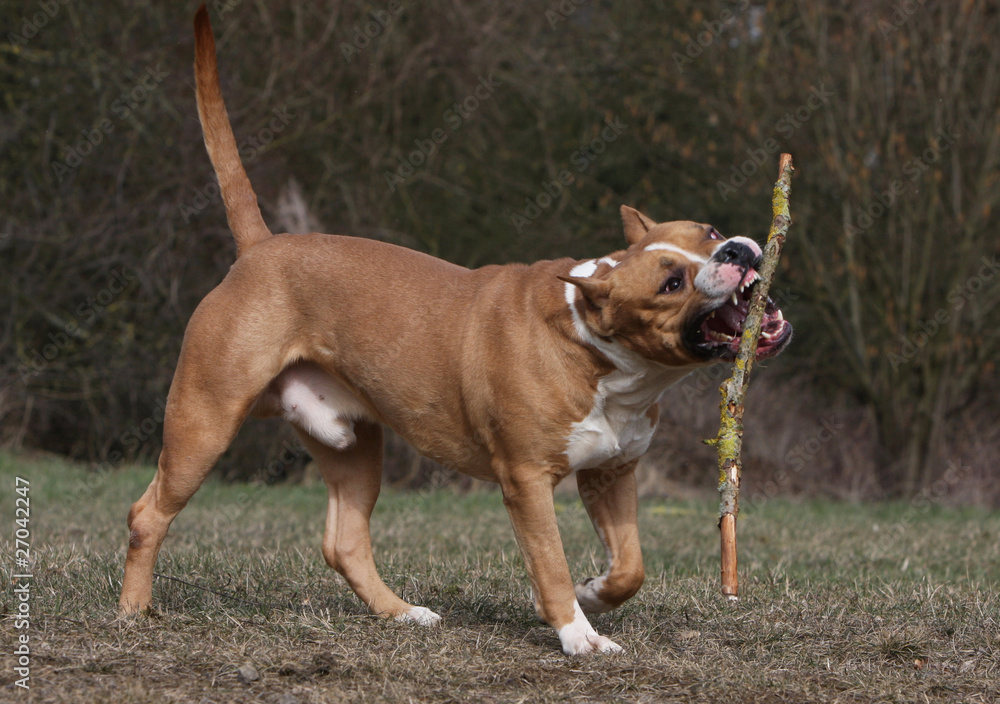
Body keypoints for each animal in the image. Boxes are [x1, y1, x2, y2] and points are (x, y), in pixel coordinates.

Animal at [115, 5, 788, 656]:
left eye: (707, 231)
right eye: (671, 283)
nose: (735, 248)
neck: (594, 341)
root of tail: (259, 249)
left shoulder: (612, 473)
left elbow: (631, 568)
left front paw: (593, 595)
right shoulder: (527, 483)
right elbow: (550, 563)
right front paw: (578, 635)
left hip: (353, 444)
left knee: (345, 542)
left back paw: (402, 614)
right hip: (204, 420)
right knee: (148, 514)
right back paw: (132, 613)